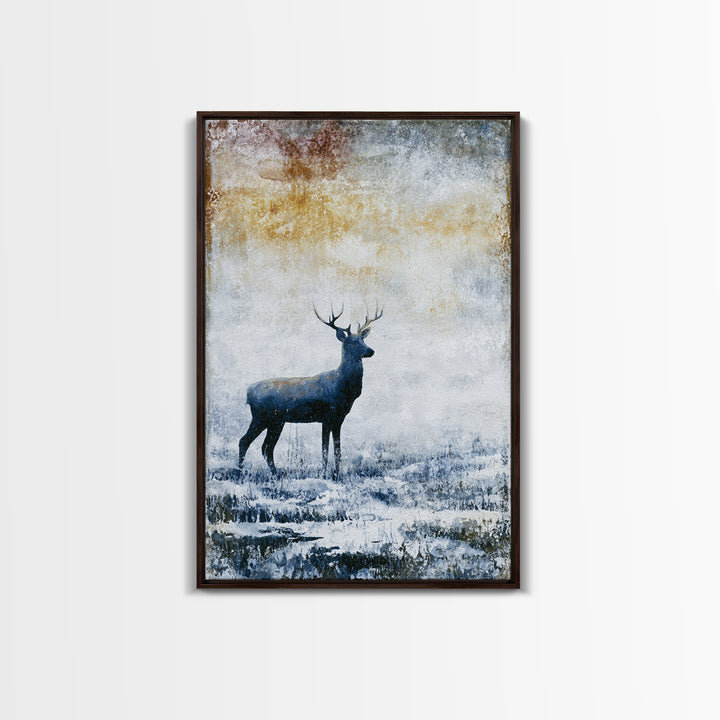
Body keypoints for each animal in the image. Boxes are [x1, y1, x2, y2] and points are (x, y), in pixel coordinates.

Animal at [238, 303, 383, 479]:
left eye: (362, 339)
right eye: (352, 342)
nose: (371, 350)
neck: (343, 388)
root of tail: (248, 392)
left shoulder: (339, 419)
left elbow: (337, 450)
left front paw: (337, 475)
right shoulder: (327, 416)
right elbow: (325, 450)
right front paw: (324, 474)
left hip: (276, 421)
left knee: (267, 447)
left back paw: (275, 474)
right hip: (261, 416)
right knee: (244, 441)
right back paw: (240, 473)